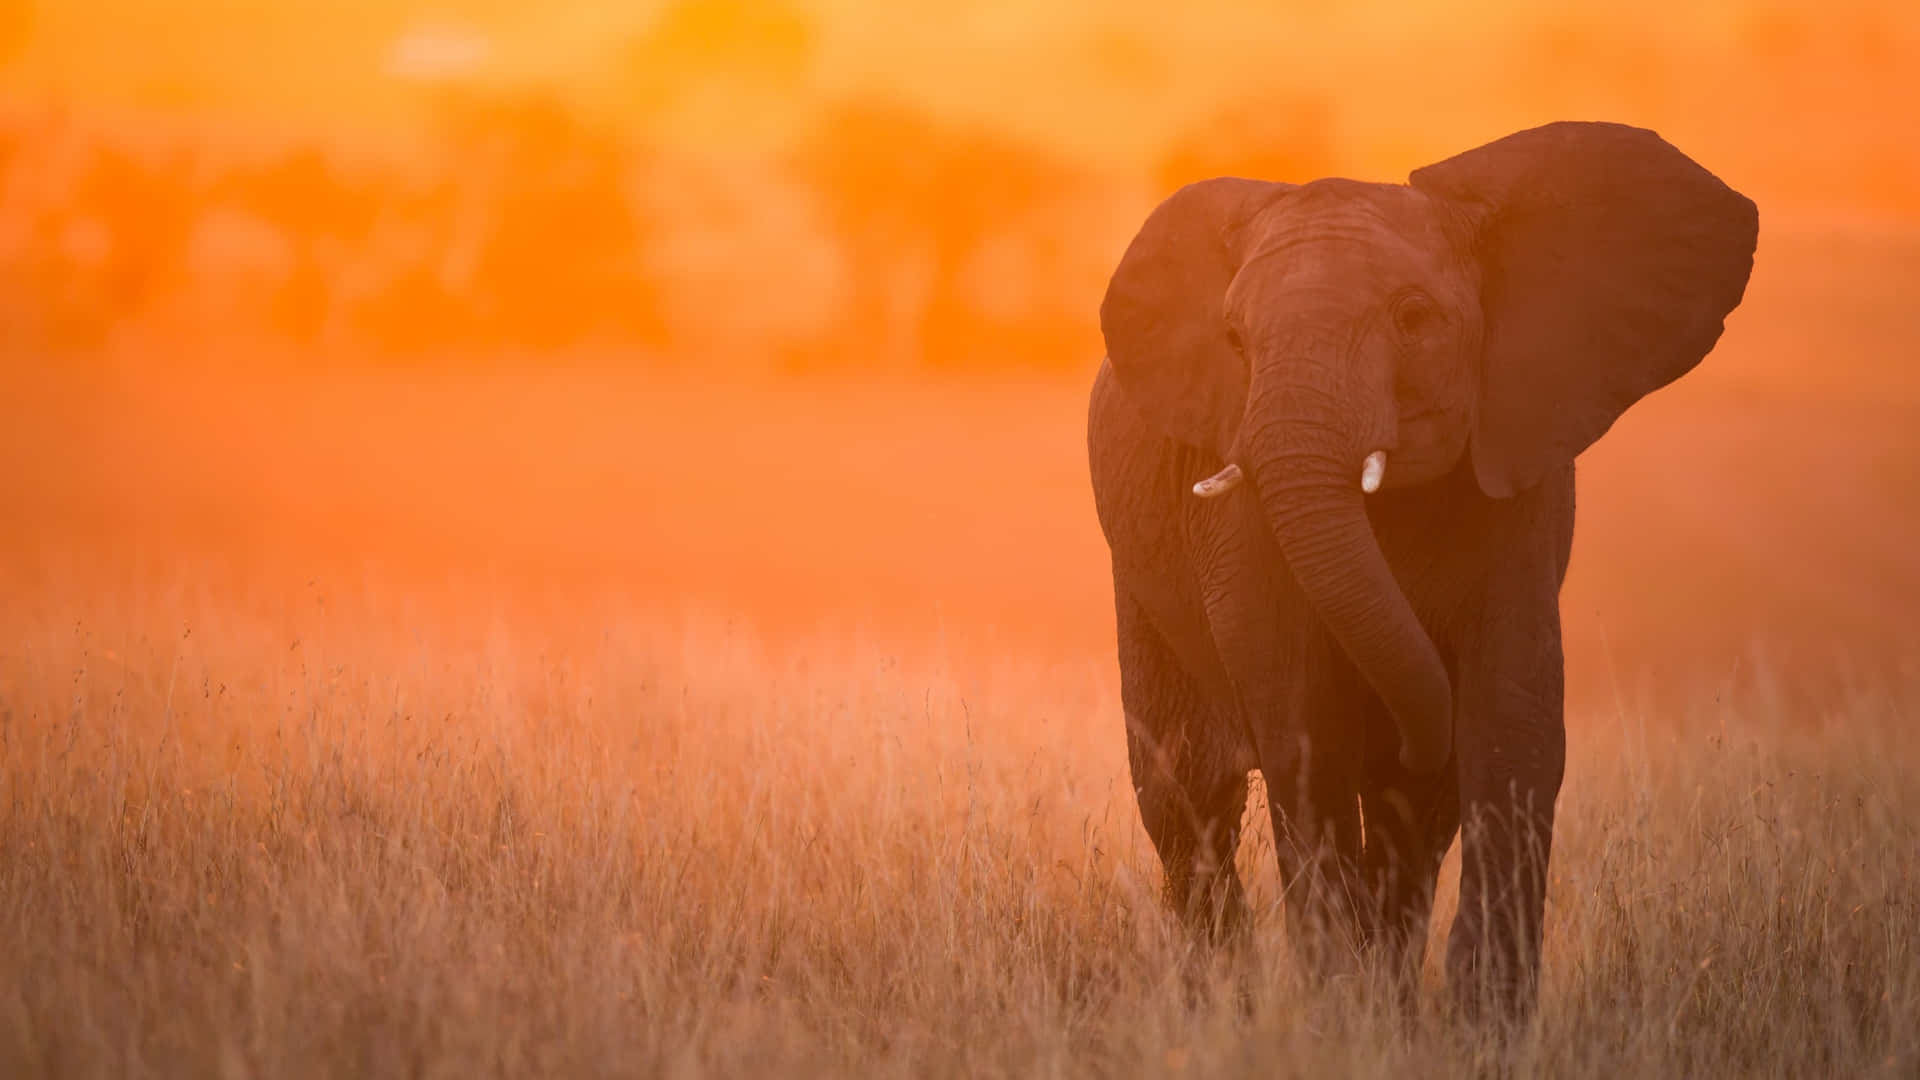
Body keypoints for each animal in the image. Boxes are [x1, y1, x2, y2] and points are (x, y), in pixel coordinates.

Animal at [1082, 122, 1758, 1014]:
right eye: (1234, 342)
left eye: (1412, 317)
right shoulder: (1237, 492)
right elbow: (1302, 721)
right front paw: (1337, 1007)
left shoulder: (1519, 479)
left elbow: (1512, 721)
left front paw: (1480, 1021)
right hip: (1139, 584)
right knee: (1188, 796)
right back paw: (1230, 998)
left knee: (1412, 818)